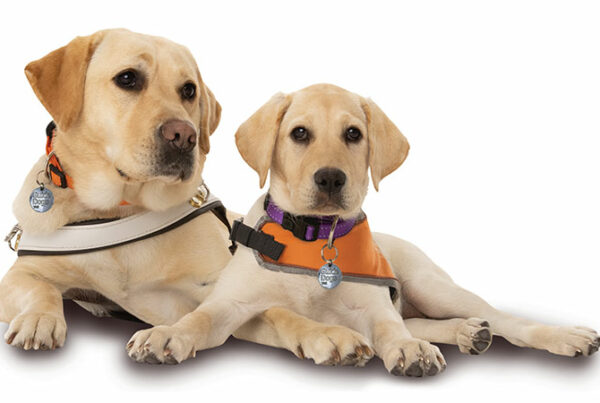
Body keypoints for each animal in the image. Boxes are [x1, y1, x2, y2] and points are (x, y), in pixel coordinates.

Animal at [1, 31, 370, 366]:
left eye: (189, 90)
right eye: (127, 78)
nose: (184, 136)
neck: (122, 209)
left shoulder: (215, 293)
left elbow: (277, 312)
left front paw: (325, 334)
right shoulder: (18, 276)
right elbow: (41, 288)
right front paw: (39, 319)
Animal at [129, 83, 600, 378]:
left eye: (353, 134)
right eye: (299, 133)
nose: (330, 178)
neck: (314, 237)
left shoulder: (374, 307)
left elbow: (390, 329)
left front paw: (408, 351)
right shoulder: (231, 303)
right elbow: (199, 318)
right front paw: (166, 335)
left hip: (429, 285)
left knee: (500, 319)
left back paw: (561, 336)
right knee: (423, 321)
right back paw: (468, 332)